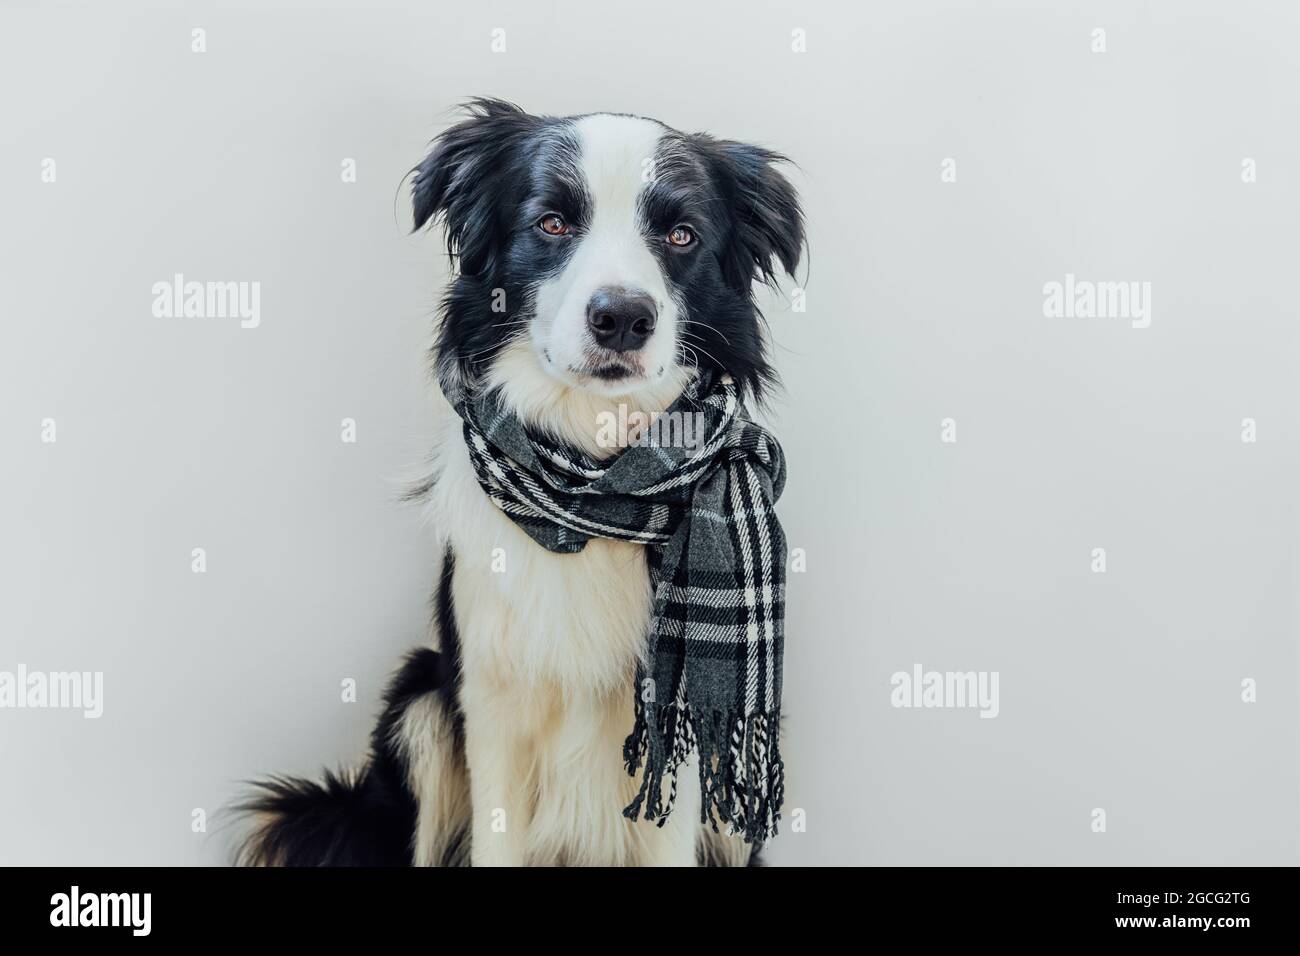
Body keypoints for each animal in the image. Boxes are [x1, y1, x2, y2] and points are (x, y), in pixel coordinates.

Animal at [236, 100, 800, 868]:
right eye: (552, 222)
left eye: (681, 235)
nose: (622, 317)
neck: (590, 479)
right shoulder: (490, 705)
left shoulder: (675, 736)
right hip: (419, 706)